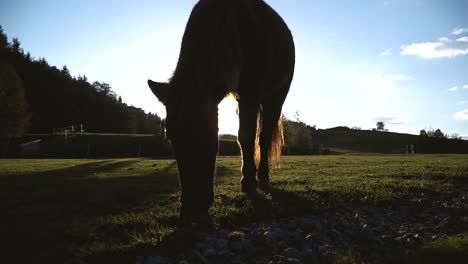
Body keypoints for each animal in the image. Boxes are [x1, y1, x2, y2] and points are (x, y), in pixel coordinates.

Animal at [148, 0, 294, 225]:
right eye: (171, 137)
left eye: (206, 133)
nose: (192, 209)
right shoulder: (242, 96)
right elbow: (243, 138)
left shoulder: (251, 93)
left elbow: (246, 136)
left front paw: (248, 180)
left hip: (276, 96)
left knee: (264, 137)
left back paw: (263, 176)